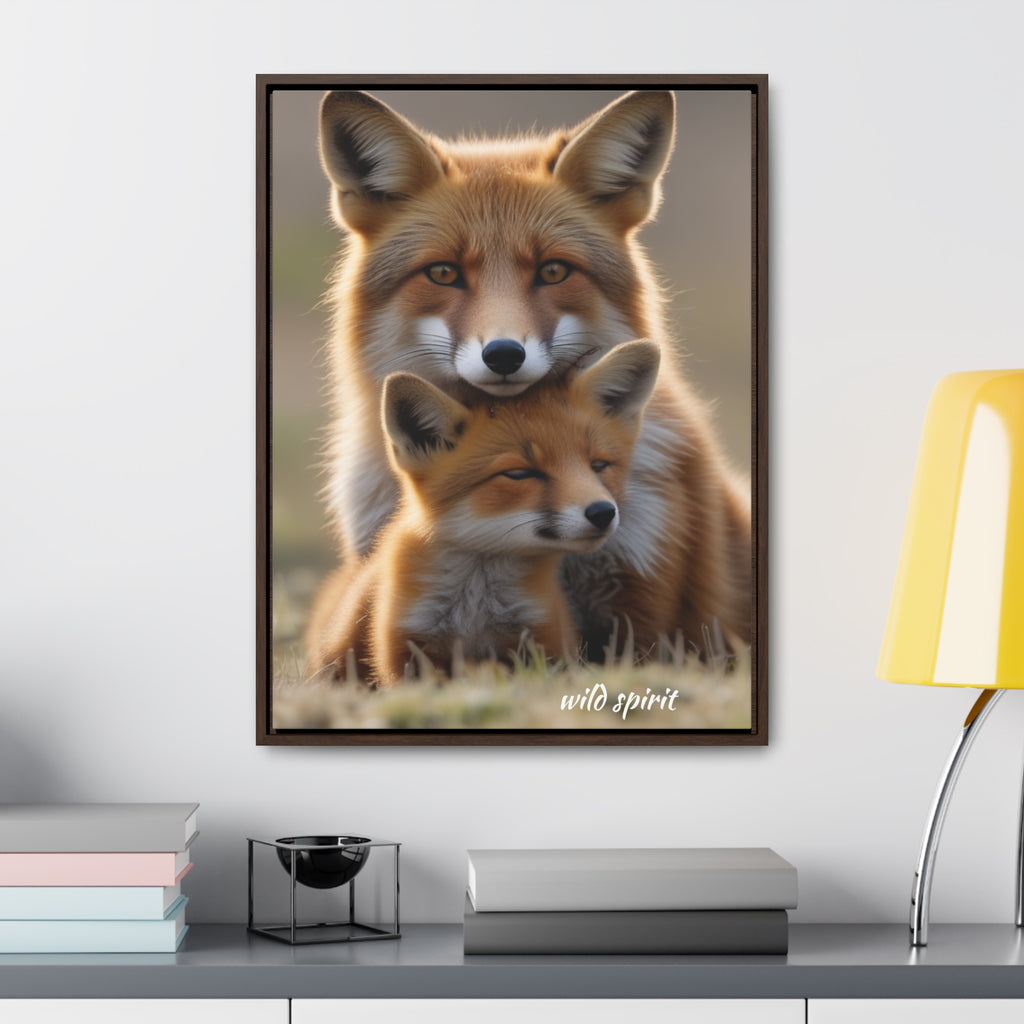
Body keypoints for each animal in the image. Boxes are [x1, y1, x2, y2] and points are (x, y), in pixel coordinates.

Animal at [305, 341, 660, 686]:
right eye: (519, 474)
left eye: (598, 466)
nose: (603, 512)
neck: (475, 608)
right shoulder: (406, 650)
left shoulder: (544, 640)